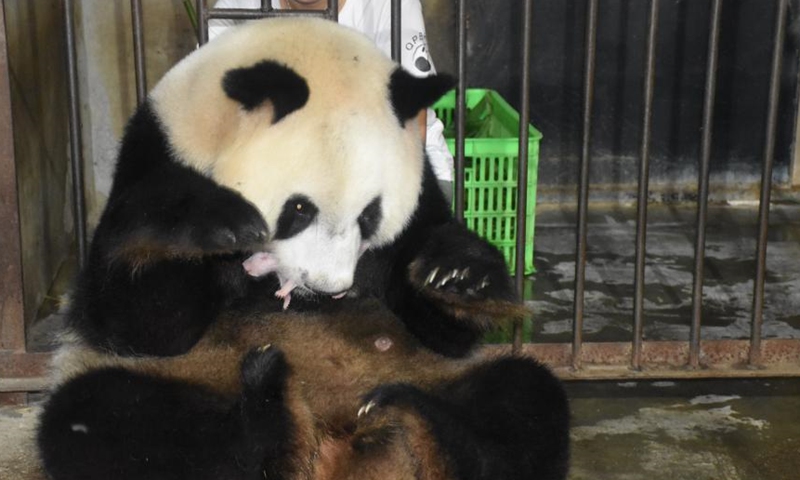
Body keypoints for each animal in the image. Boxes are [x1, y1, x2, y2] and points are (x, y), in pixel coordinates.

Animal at [38, 299, 571, 480]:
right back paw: (268, 414)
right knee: (92, 415)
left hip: (446, 382)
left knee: (524, 398)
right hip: (185, 389)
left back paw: (421, 420)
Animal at [69, 16, 517, 360]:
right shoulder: (159, 150)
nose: (326, 285)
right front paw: (217, 222)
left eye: (370, 215)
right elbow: (139, 322)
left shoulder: (419, 191)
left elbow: (443, 326)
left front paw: (459, 275)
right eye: (300, 209)